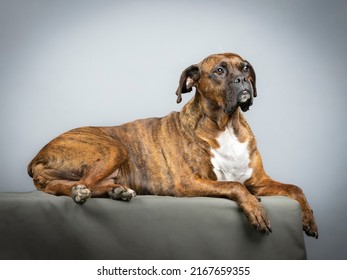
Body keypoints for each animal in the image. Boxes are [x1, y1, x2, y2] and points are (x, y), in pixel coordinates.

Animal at [28, 53, 320, 238]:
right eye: (219, 71)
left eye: (245, 68)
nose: (243, 80)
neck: (226, 125)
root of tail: (36, 158)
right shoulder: (188, 182)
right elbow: (234, 186)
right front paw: (255, 209)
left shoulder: (258, 181)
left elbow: (295, 189)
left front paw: (308, 219)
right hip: (114, 148)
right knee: (70, 186)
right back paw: (87, 192)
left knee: (72, 185)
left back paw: (116, 191)